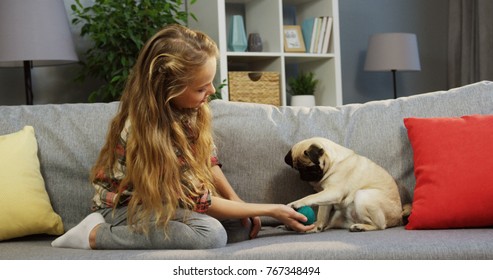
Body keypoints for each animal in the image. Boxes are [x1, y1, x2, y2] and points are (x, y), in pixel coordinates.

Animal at [282, 137, 410, 232]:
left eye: (312, 168)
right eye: (297, 169)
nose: (303, 175)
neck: (333, 162)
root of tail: (399, 217)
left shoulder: (333, 192)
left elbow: (311, 197)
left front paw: (295, 203)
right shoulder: (326, 197)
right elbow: (322, 214)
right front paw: (317, 225)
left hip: (363, 195)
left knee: (380, 225)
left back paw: (361, 227)